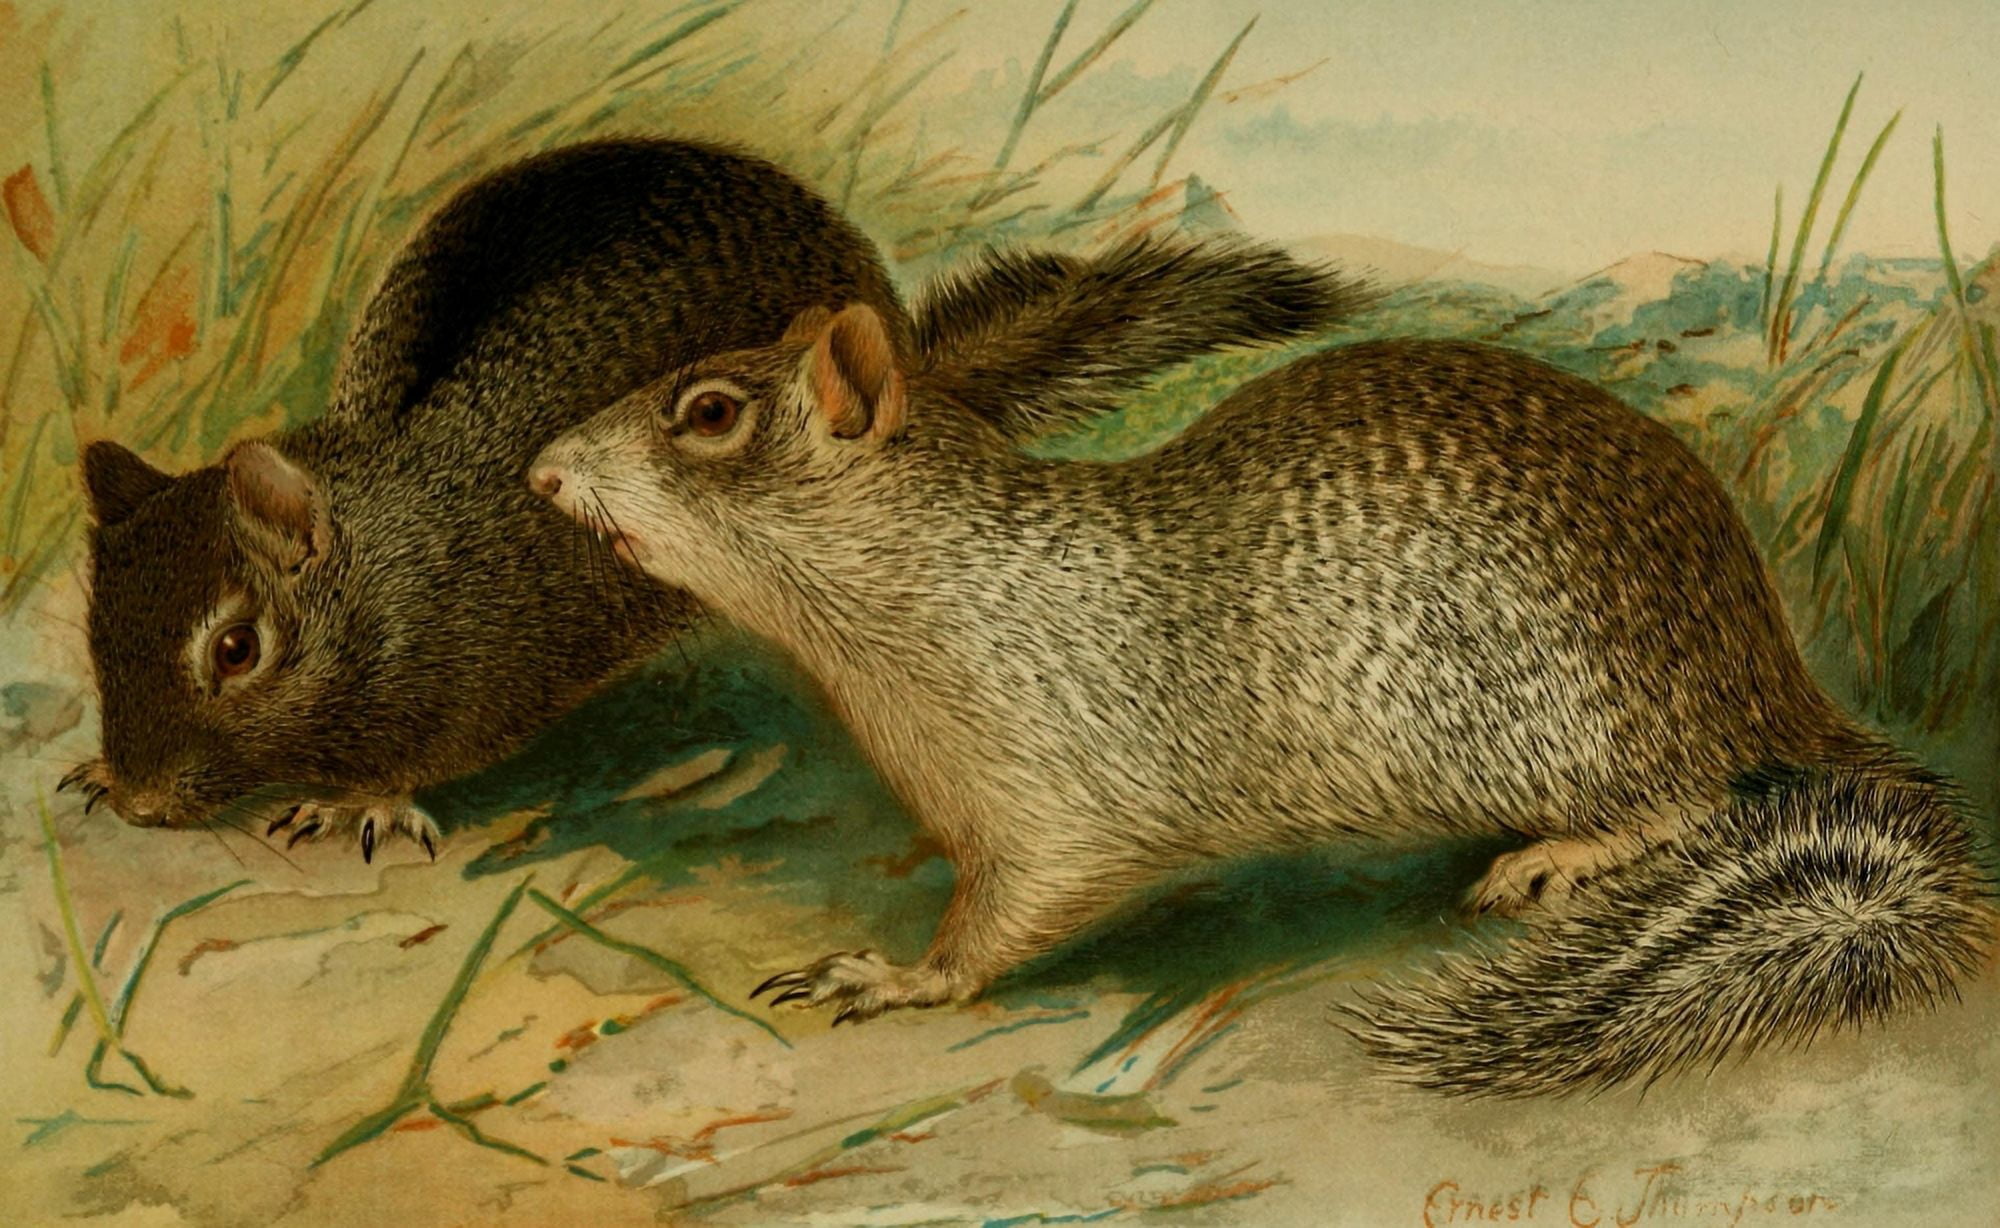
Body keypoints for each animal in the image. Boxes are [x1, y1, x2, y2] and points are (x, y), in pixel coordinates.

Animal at [60, 132, 1355, 863]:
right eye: (93, 640)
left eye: (236, 649)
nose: (141, 803)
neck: (389, 558)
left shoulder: (479, 673)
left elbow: (422, 754)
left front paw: (359, 802)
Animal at [526, 297, 1994, 1096]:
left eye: (709, 412)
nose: (537, 472)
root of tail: (1772, 676)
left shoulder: (1056, 797)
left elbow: (1004, 918)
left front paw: (896, 973)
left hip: (1576, 730)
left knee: (1690, 800)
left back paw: (1561, 855)